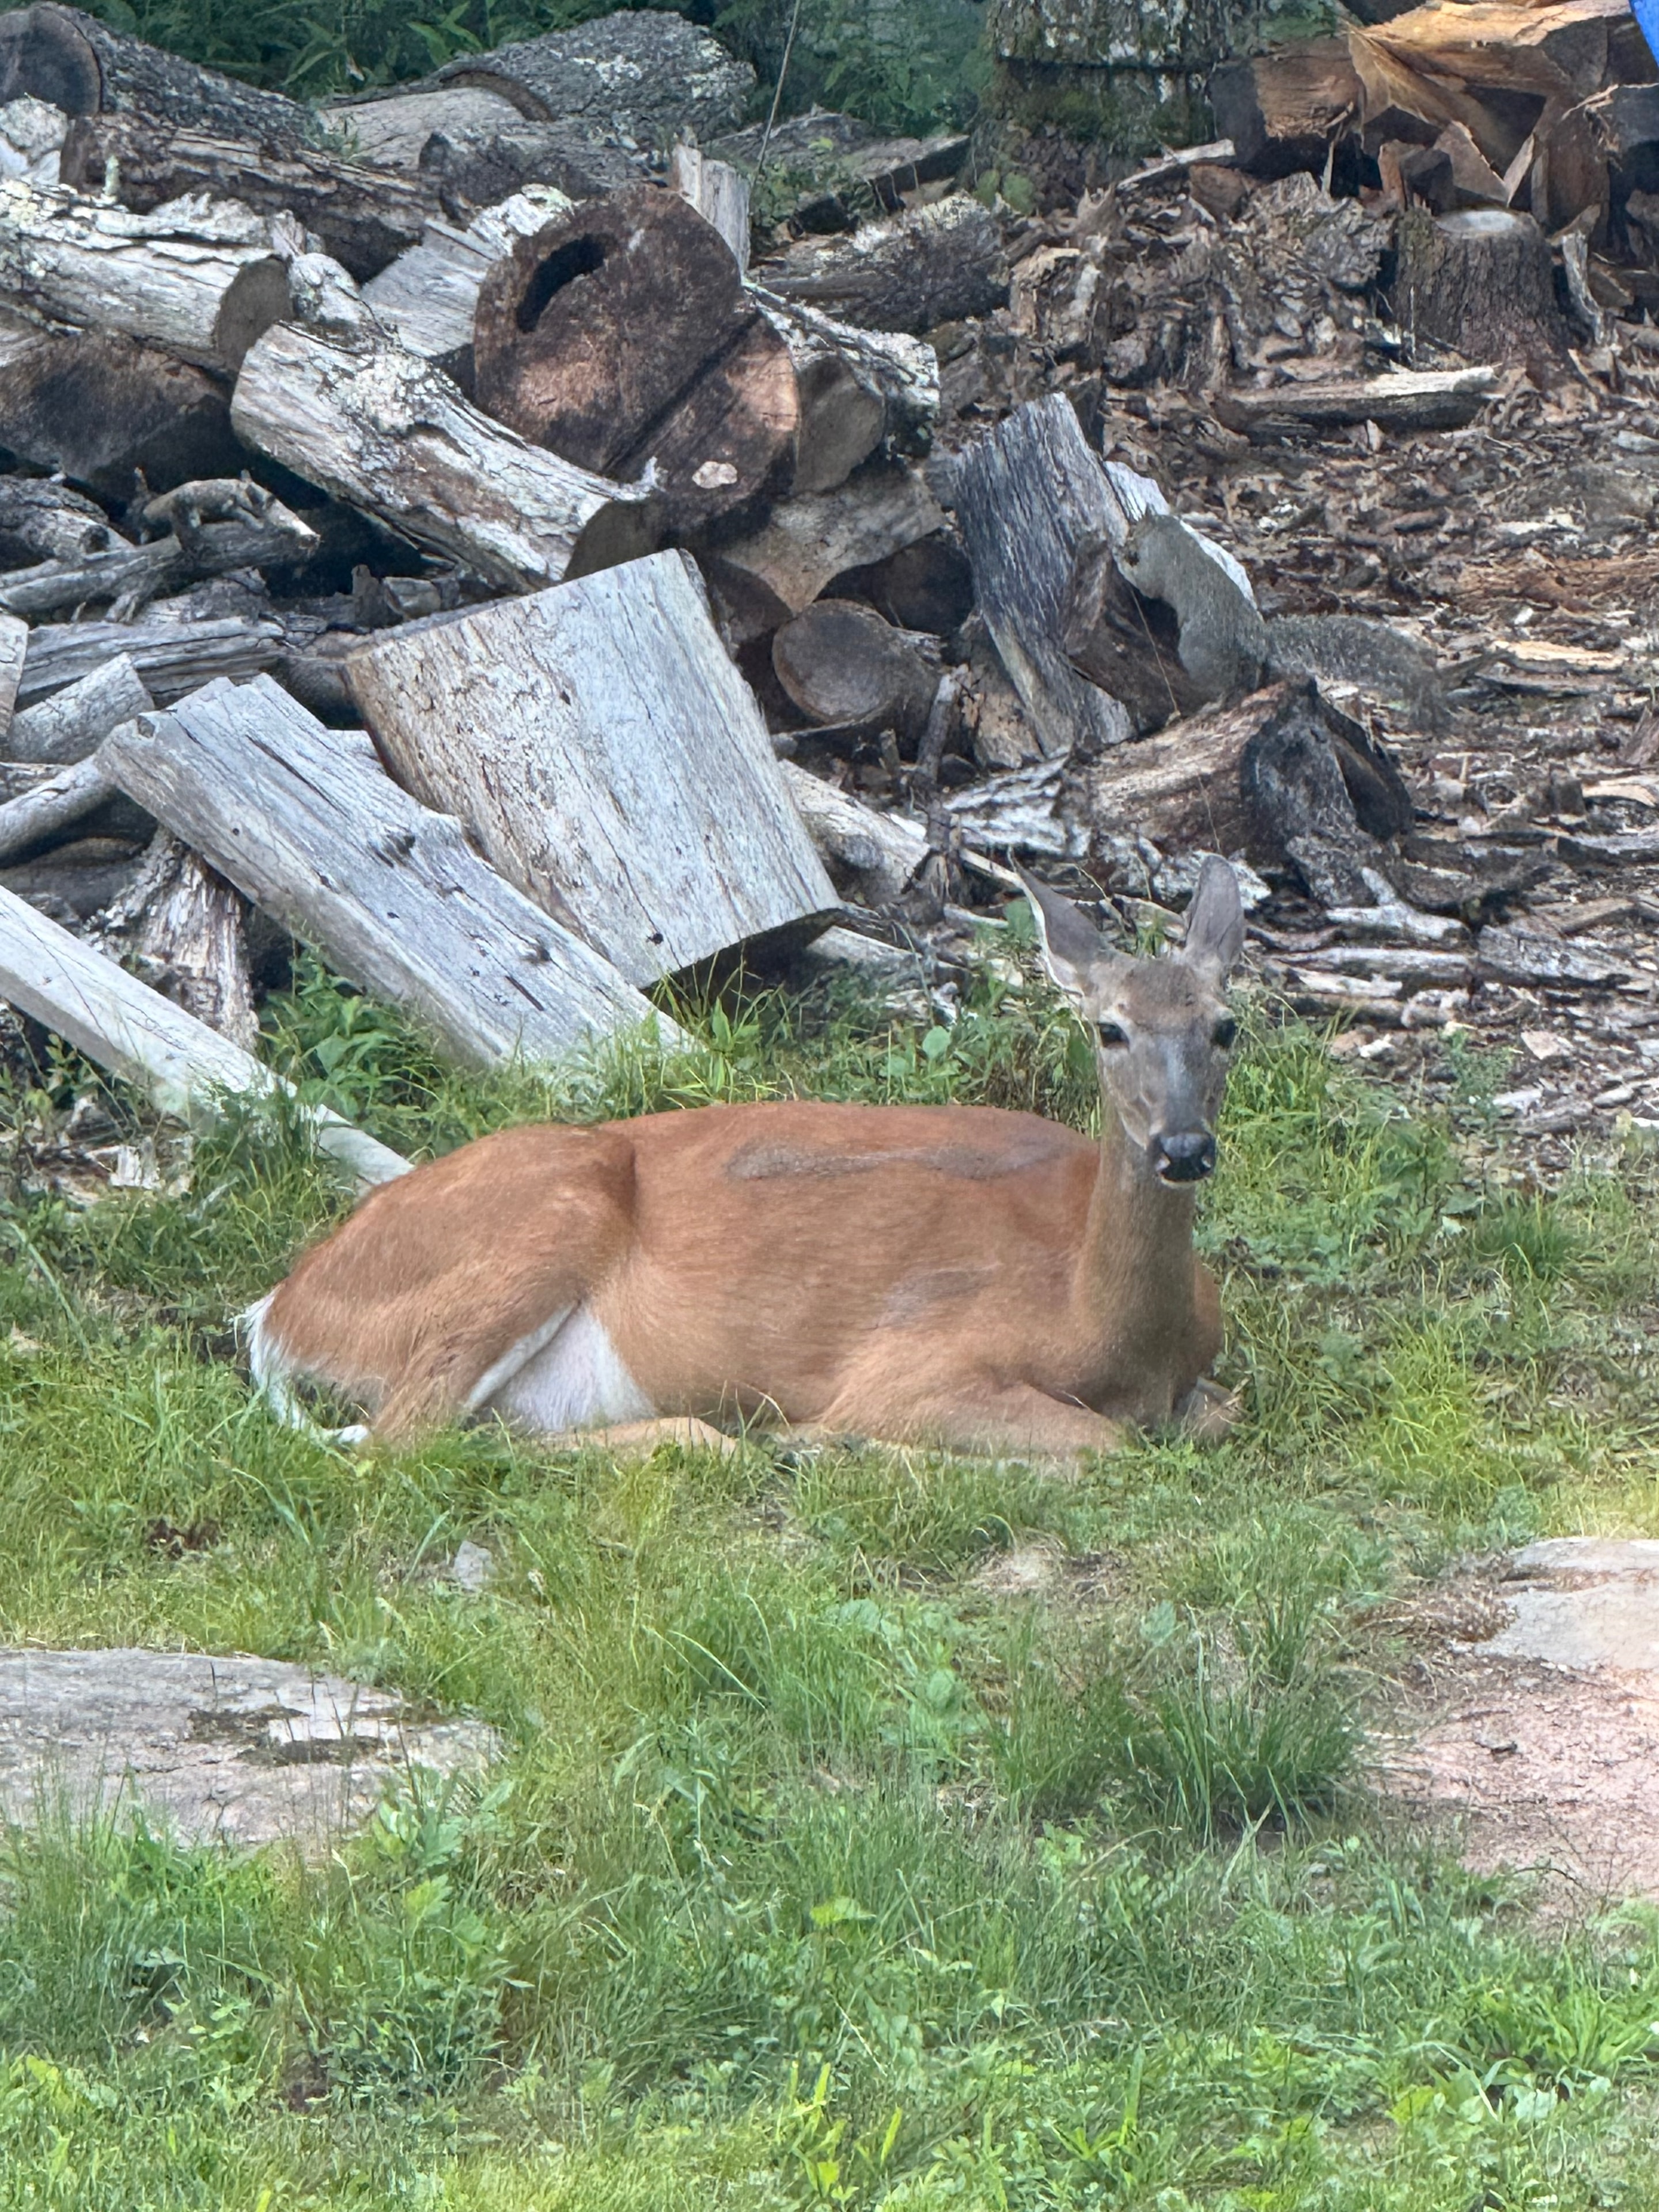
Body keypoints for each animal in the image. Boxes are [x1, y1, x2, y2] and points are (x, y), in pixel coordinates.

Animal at [245, 857, 1244, 1463]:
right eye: (1109, 1028)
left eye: (1227, 1026)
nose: (1183, 1148)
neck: (1107, 1330)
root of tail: (277, 1311)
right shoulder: (916, 1362)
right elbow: (1102, 1446)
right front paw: (843, 1445)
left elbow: (1216, 1418)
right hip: (540, 1224)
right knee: (405, 1444)